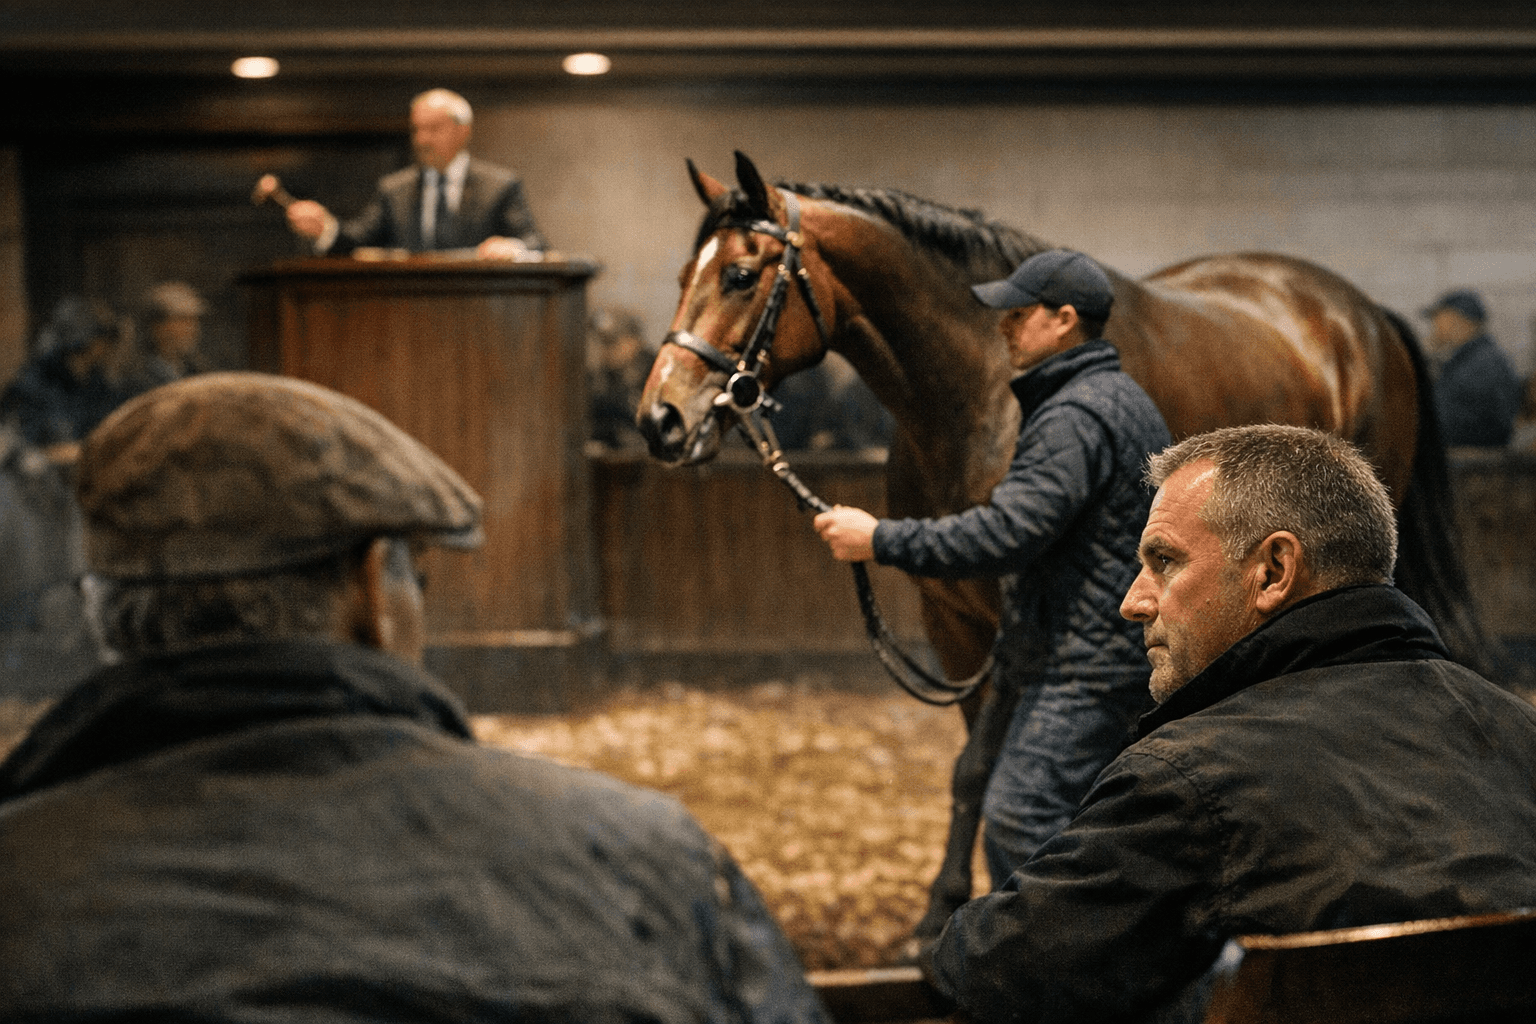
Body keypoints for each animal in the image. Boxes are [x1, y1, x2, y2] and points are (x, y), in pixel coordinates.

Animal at [637, 151, 1486, 946]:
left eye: (741, 275)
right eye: (684, 275)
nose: (660, 419)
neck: (979, 394)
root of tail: (1359, 310)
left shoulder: (1017, 614)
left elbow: (981, 764)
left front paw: (952, 903)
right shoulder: (955, 619)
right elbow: (968, 770)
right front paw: (952, 894)